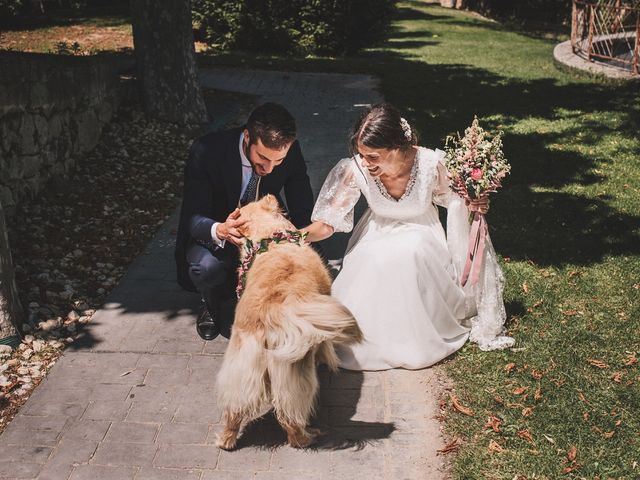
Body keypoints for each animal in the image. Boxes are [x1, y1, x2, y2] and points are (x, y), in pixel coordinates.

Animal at [216, 193, 362, 448]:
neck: (271, 239)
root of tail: (269, 311)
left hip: (241, 365)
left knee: (235, 407)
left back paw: (226, 439)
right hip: (294, 371)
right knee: (290, 416)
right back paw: (306, 437)